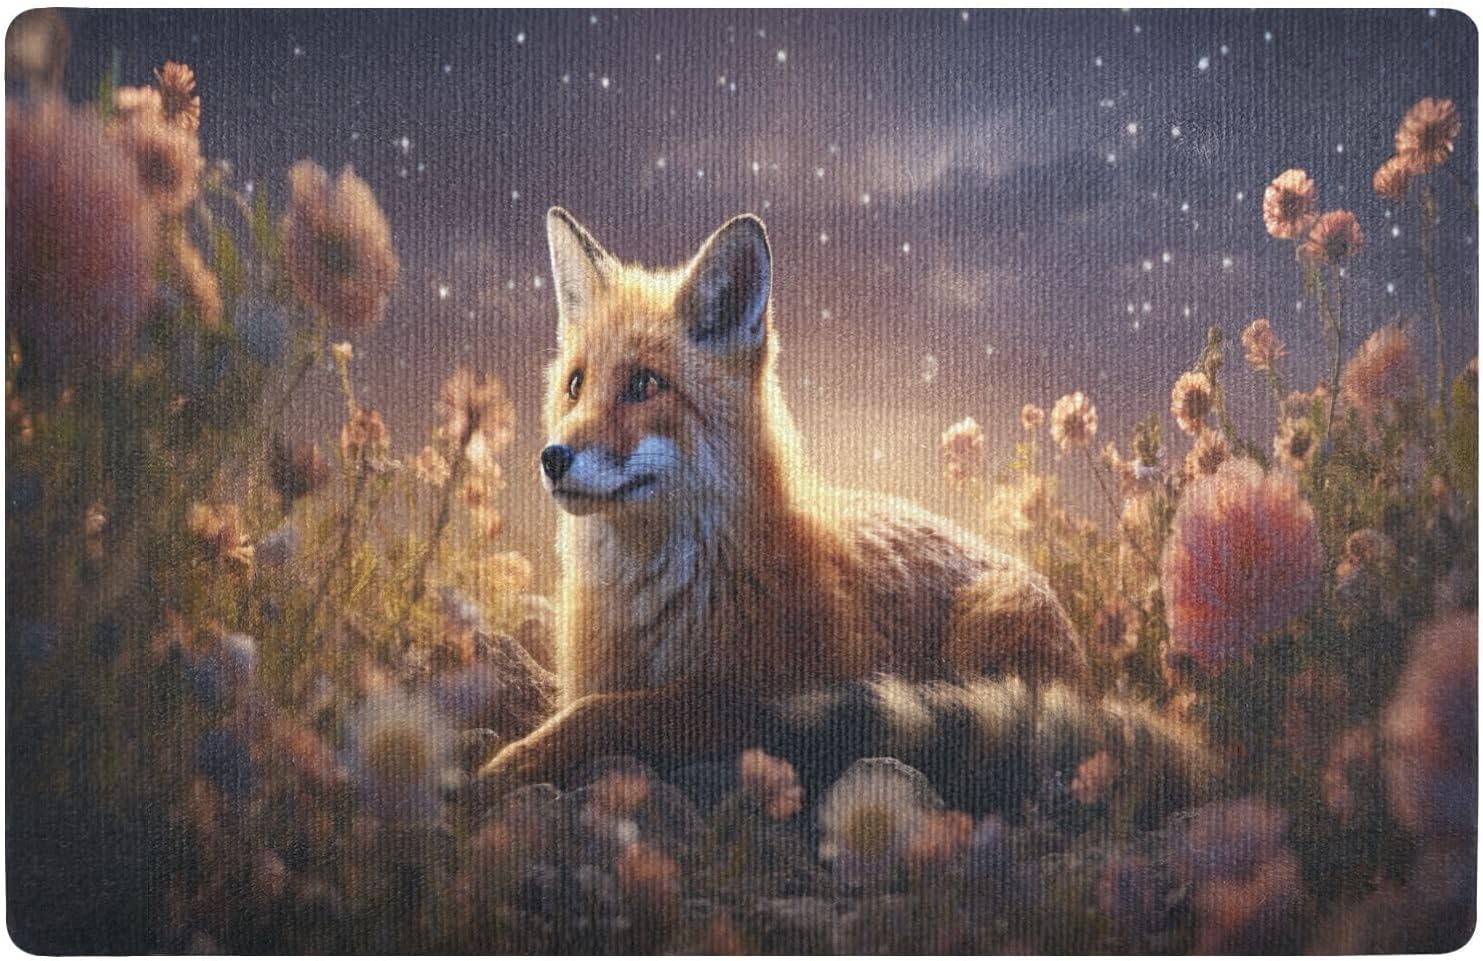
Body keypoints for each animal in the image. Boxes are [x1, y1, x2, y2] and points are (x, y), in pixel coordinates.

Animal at [477, 209, 1212, 820]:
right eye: (576, 385)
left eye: (644, 385)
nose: (552, 457)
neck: (656, 597)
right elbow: (588, 704)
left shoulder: (751, 700)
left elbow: (604, 715)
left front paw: (505, 765)